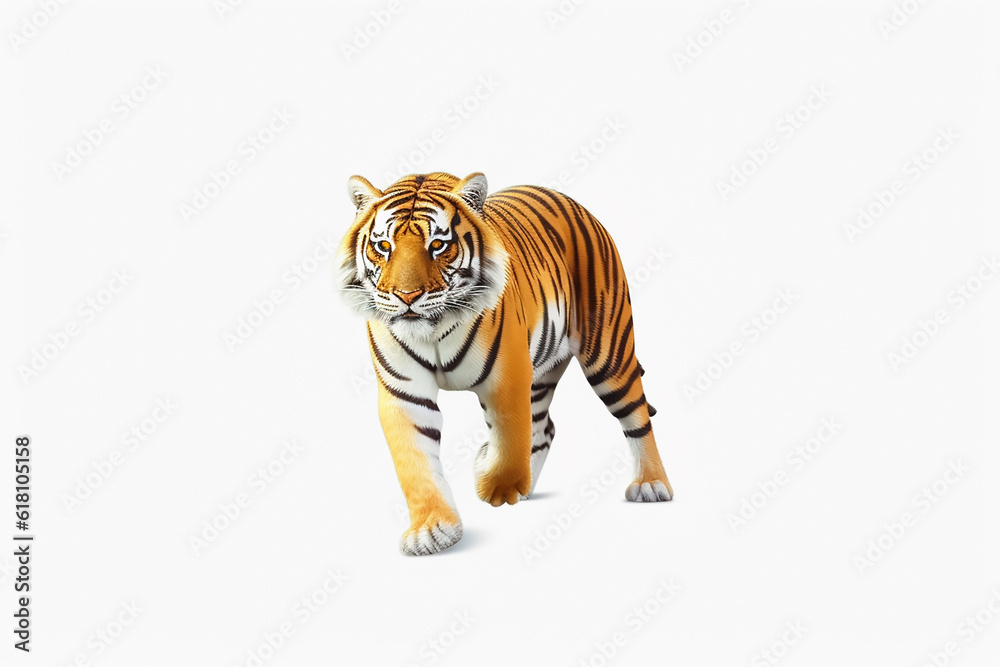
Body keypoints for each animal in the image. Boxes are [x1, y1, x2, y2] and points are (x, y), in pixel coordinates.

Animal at [336, 171, 673, 556]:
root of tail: (573, 202)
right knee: (544, 428)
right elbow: (415, 465)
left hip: (607, 353)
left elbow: (510, 439)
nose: (406, 297)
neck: (433, 330)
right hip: (542, 372)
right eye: (383, 246)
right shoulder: (404, 394)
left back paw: (651, 485)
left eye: (437, 245)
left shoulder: (507, 376)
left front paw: (495, 484)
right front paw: (431, 531)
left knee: (636, 415)